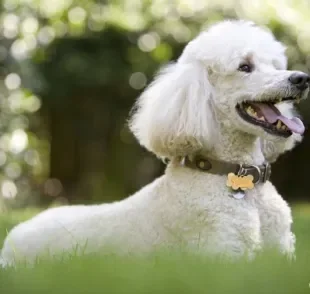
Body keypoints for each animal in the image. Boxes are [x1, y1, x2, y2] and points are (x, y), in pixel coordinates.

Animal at [1, 19, 308, 266]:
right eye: (245, 66)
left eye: (274, 65)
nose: (301, 78)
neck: (235, 176)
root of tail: (10, 239)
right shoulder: (223, 256)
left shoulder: (281, 255)